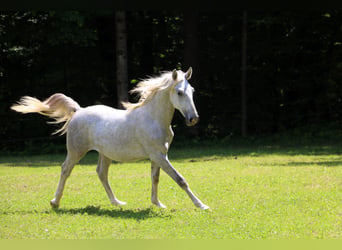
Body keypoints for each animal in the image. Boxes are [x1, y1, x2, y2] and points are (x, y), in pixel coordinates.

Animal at [10, 66, 210, 209]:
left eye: (192, 90)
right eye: (179, 92)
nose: (193, 119)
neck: (154, 118)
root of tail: (78, 111)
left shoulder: (159, 155)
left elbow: (155, 178)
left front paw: (158, 204)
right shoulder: (158, 155)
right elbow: (180, 179)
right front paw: (201, 205)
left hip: (105, 154)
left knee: (101, 173)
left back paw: (116, 202)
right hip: (76, 151)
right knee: (65, 170)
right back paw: (55, 202)